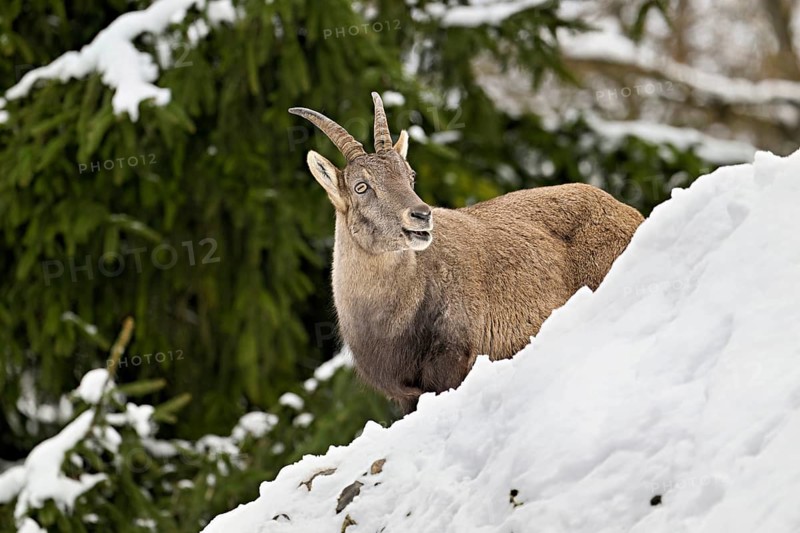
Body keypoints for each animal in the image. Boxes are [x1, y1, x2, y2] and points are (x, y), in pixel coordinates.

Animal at [290, 93, 643, 412]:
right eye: (361, 186)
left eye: (410, 176)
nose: (421, 215)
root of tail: (629, 212)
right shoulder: (405, 394)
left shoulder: (453, 366)